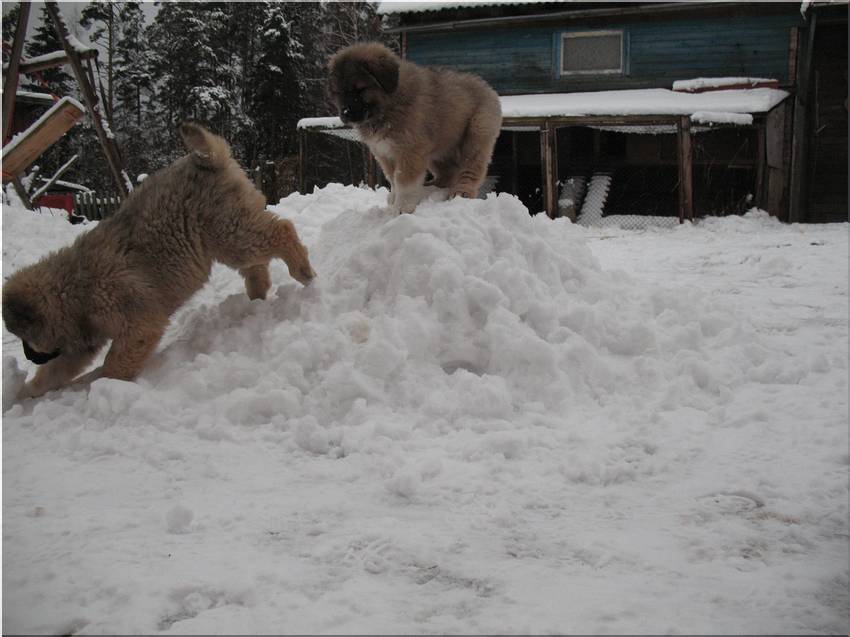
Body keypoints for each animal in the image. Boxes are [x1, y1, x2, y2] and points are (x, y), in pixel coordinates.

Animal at [2, 122, 316, 400]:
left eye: (25, 338)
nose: (29, 356)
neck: (73, 290)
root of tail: (204, 160)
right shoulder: (80, 345)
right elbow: (56, 371)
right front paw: (25, 394)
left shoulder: (137, 322)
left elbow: (115, 362)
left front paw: (104, 385)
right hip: (228, 231)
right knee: (256, 262)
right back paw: (256, 295)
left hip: (229, 230)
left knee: (281, 231)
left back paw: (302, 271)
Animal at [328, 42, 502, 214]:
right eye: (338, 92)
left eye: (361, 89)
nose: (345, 113)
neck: (389, 105)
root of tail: (485, 85)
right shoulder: (384, 153)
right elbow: (393, 179)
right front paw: (394, 198)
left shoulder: (410, 149)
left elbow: (404, 181)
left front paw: (402, 207)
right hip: (439, 148)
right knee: (448, 172)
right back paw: (431, 187)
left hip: (477, 133)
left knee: (471, 166)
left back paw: (463, 191)